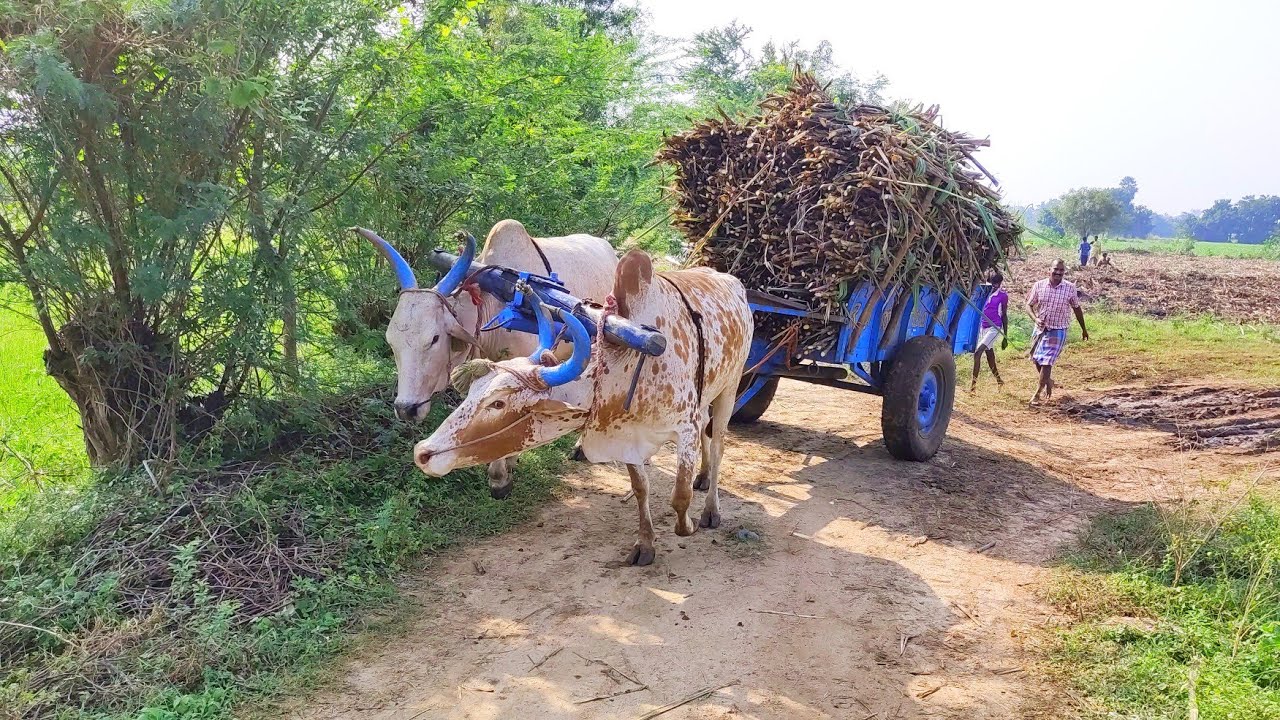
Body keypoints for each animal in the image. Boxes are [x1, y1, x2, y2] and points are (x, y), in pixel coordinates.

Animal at [413, 250, 753, 566]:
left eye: (498, 403)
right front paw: (645, 544)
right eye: (471, 391)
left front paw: (686, 526)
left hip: (731, 385)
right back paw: (703, 475)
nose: (423, 452)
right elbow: (640, 488)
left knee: (718, 444)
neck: (632, 363)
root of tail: (731, 281)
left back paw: (711, 509)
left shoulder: (685, 428)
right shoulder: (624, 436)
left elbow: (680, 495)